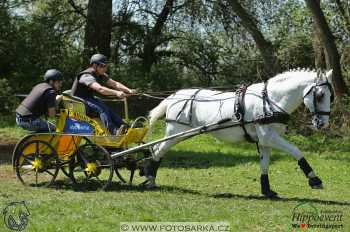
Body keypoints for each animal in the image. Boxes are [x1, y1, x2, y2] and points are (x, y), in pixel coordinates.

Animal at [142, 69, 334, 198]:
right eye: (320, 95)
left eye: (330, 96)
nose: (323, 124)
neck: (270, 101)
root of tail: (175, 96)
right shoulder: (269, 137)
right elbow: (296, 151)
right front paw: (315, 180)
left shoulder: (264, 141)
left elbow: (264, 165)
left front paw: (267, 190)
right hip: (176, 132)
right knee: (157, 150)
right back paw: (150, 177)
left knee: (156, 150)